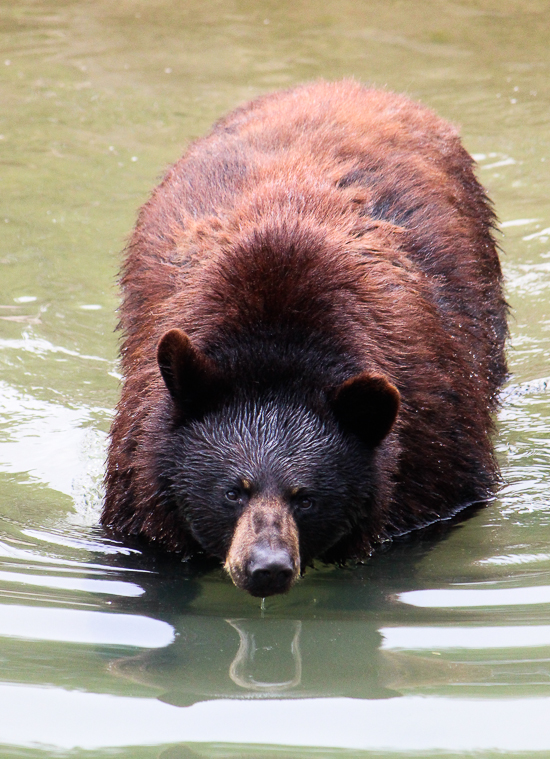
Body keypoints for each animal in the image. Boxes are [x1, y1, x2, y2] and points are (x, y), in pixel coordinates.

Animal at [102, 78, 508, 600]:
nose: (267, 568)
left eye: (306, 497)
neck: (280, 344)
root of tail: (347, 85)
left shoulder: (429, 450)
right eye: (233, 490)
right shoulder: (142, 460)